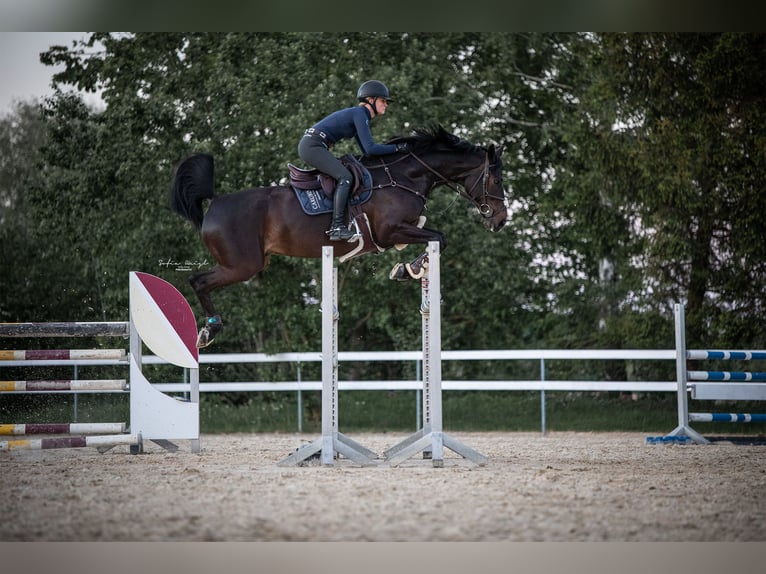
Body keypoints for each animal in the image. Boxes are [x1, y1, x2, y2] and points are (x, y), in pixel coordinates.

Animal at [172, 126, 510, 348]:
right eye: (496, 179)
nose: (501, 220)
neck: (403, 177)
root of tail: (215, 202)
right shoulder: (389, 230)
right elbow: (440, 236)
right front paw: (409, 269)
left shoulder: (403, 229)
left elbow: (433, 234)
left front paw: (407, 268)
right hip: (243, 265)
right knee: (198, 281)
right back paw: (209, 331)